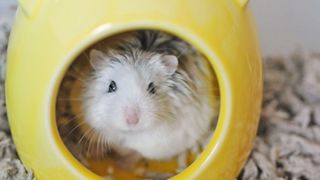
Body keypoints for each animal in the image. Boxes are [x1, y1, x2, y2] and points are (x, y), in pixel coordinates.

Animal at [81, 30, 219, 162]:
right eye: (111, 86)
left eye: (152, 88)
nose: (132, 120)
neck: (130, 133)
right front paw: (98, 154)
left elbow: (136, 152)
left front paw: (122, 161)